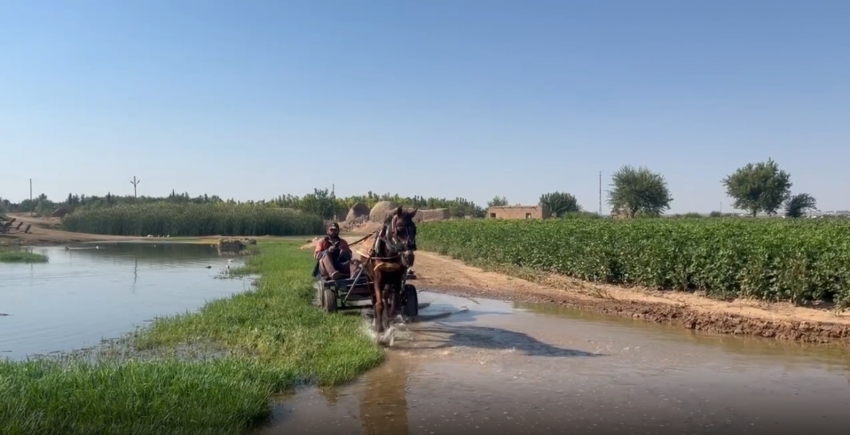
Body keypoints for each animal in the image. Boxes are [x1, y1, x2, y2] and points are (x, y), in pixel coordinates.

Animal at [352, 206, 418, 342]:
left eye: (415, 230)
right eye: (399, 229)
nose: (409, 257)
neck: (389, 254)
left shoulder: (397, 281)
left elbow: (394, 305)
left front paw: (388, 325)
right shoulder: (377, 280)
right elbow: (379, 304)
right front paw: (379, 329)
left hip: (388, 282)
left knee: (386, 297)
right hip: (369, 278)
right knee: (374, 299)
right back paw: (376, 320)